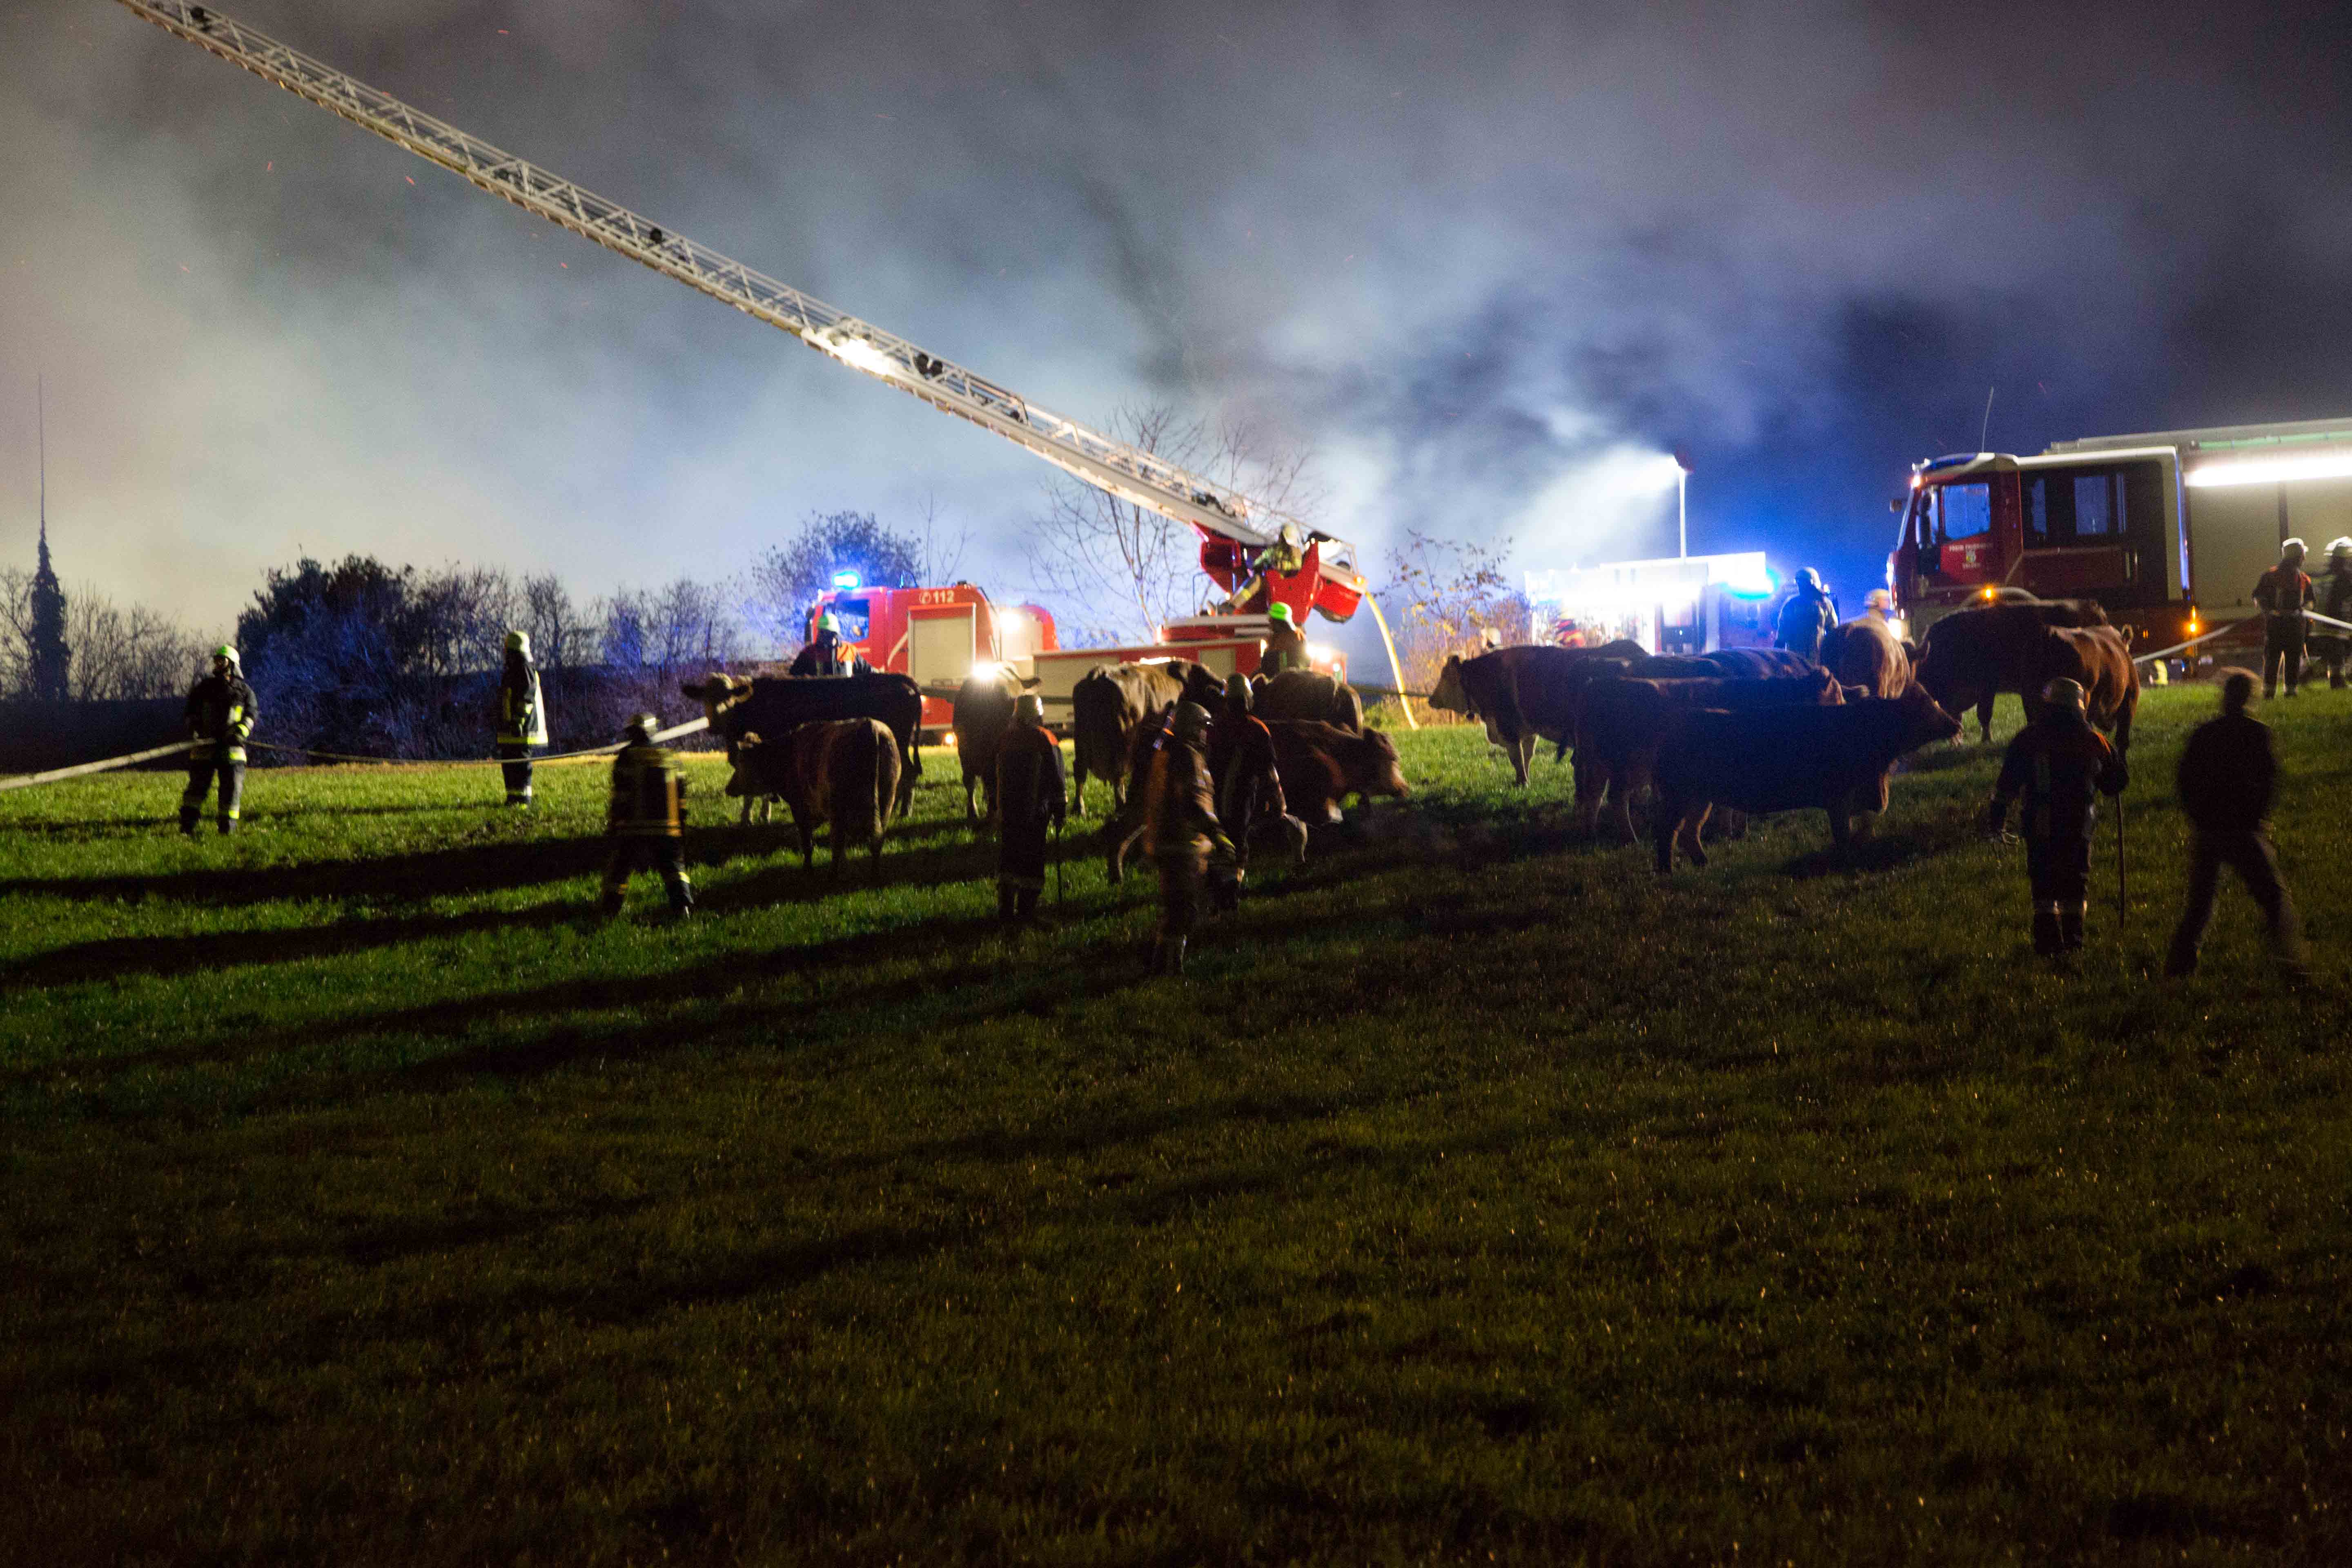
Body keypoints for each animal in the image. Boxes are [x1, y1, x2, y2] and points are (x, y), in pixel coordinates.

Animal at [682, 671, 922, 815]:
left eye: (728, 698)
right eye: (705, 699)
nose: (714, 725)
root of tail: (904, 680)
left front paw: (762, 815)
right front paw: (748, 817)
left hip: (899, 740)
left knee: (908, 771)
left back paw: (903, 810)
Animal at [767, 717, 903, 874]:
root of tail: (870, 726)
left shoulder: (800, 809)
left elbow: (807, 842)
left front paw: (808, 869)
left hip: (838, 808)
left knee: (838, 843)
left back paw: (832, 874)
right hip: (888, 800)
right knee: (877, 840)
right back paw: (873, 873)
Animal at [1428, 642, 1644, 785]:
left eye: (1445, 676)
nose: (1431, 699)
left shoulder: (1508, 728)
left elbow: (1516, 758)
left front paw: (1521, 783)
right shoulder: (1528, 731)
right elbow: (1527, 756)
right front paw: (1526, 780)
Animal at [1571, 669, 1845, 840]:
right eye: (1836, 698)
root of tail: (1595, 684)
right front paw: (1734, 831)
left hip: (1599, 764)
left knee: (1594, 796)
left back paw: (1590, 833)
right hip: (1627, 765)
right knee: (1616, 798)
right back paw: (1630, 837)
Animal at [1652, 687, 1962, 872]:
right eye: (1927, 709)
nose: (1957, 724)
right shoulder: (1839, 797)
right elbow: (1843, 834)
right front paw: (1846, 860)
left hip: (1700, 798)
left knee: (1690, 832)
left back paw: (1704, 864)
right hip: (1678, 795)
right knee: (1667, 831)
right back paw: (1667, 872)